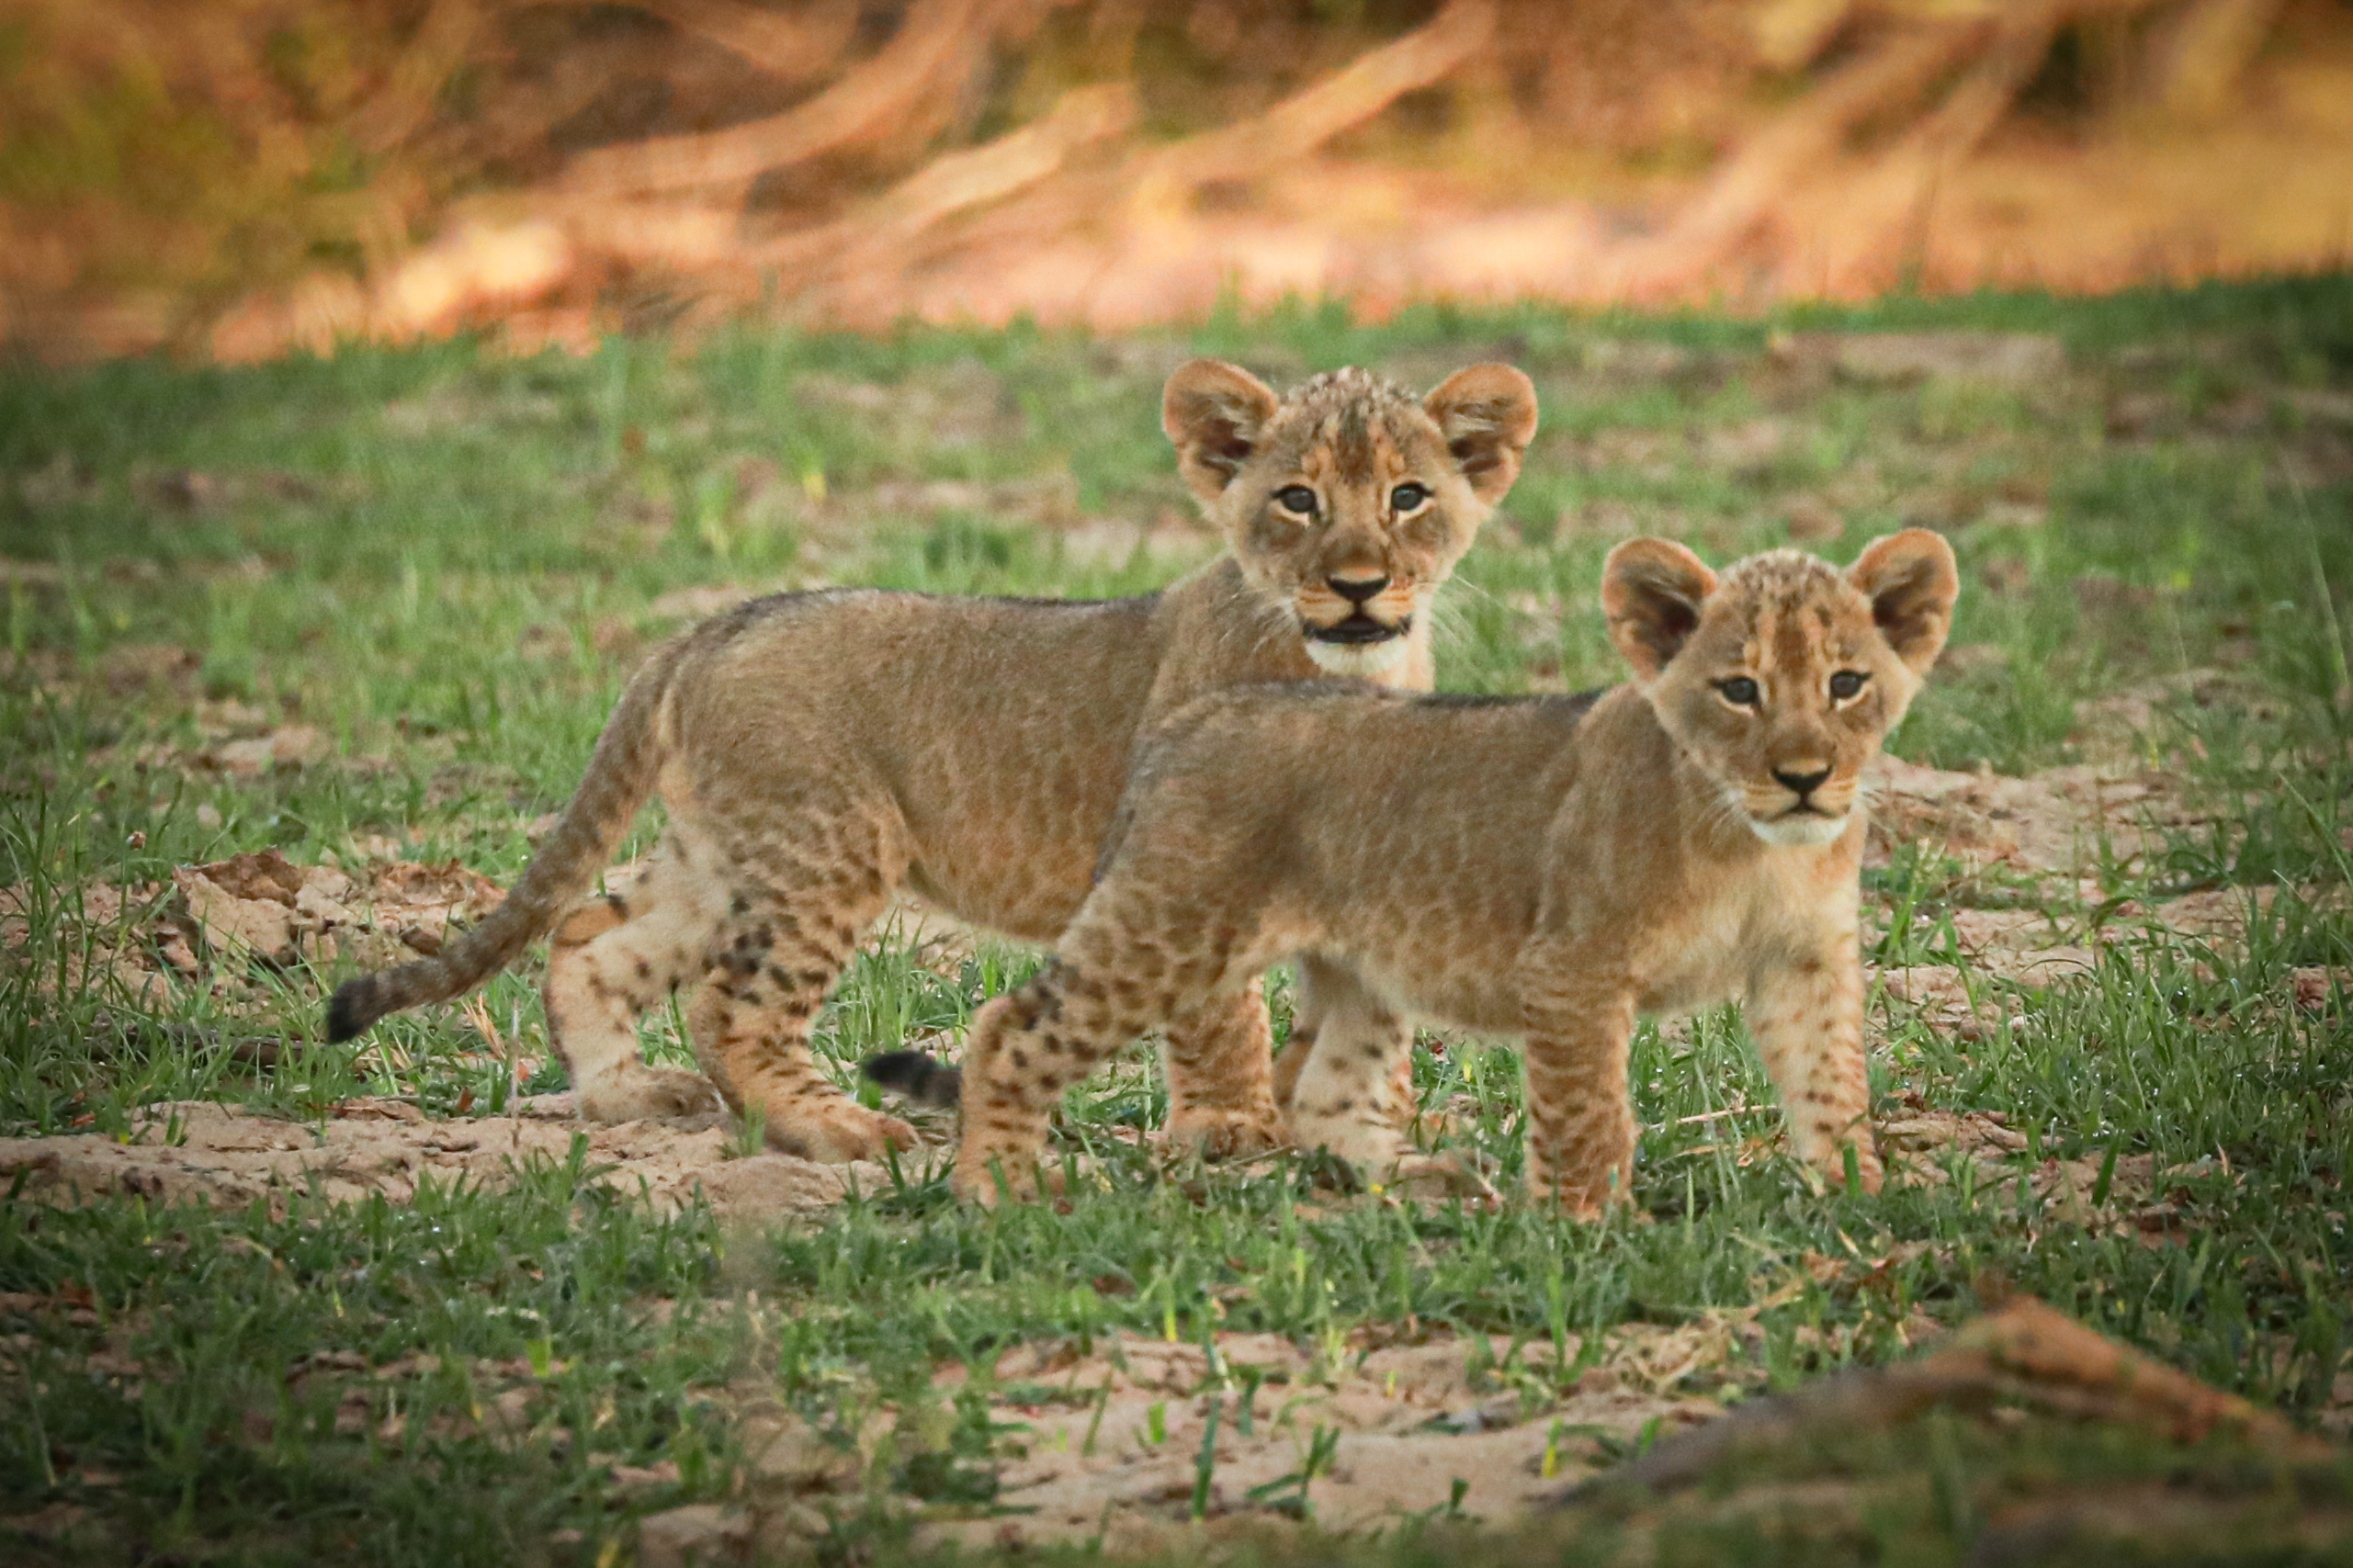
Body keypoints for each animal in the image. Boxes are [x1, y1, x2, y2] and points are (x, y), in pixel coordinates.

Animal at [323, 359, 1539, 1163]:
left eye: (1407, 497)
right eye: (1295, 499)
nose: (1356, 585)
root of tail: (716, 623)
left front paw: (1375, 1125)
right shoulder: (1194, 854)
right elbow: (1220, 1016)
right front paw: (1231, 1131)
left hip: (728, 852)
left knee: (588, 941)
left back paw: (633, 1101)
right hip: (828, 843)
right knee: (731, 1007)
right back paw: (839, 1128)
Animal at [940, 529, 1959, 1209]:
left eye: (1845, 683)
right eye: (1738, 689)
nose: (1803, 777)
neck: (1752, 847)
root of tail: (1195, 718)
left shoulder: (1804, 962)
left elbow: (1831, 1084)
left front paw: (1859, 1198)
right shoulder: (1572, 969)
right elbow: (1589, 1111)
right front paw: (1586, 1227)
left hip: (1352, 969)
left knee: (1324, 1096)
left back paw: (1415, 1186)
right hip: (1172, 925)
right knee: (1008, 1028)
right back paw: (996, 1191)